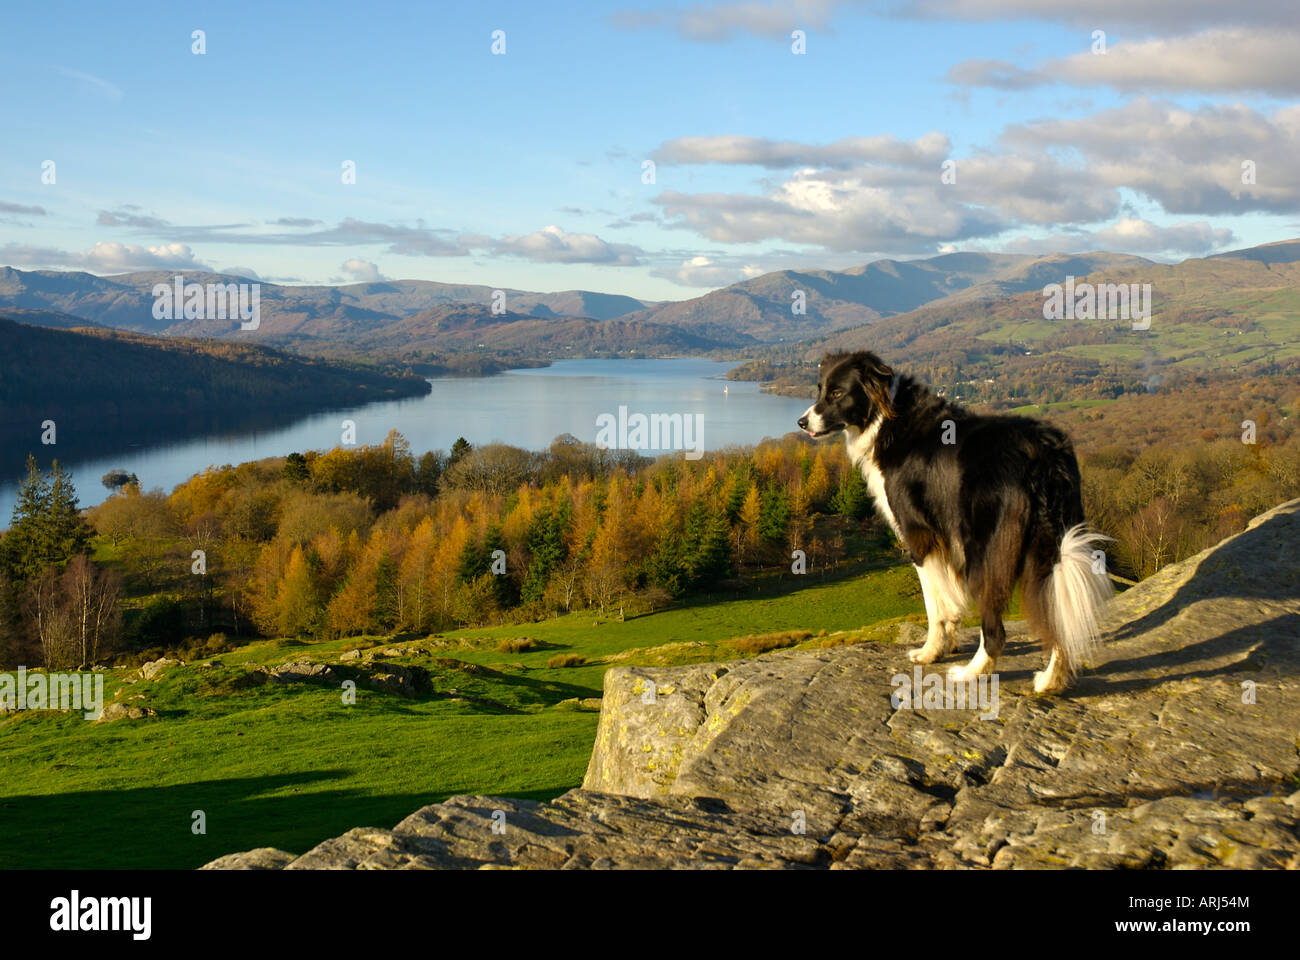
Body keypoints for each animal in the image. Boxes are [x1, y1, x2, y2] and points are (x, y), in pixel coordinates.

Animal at [795, 348, 1112, 692]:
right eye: (820, 389)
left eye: (837, 393)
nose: (802, 422)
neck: (885, 417)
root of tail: (1042, 451)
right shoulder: (948, 541)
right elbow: (951, 600)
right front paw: (949, 643)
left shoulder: (920, 536)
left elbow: (936, 605)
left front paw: (929, 652)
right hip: (1050, 543)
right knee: (1055, 612)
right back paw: (1051, 680)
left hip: (987, 552)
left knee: (996, 628)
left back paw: (972, 671)